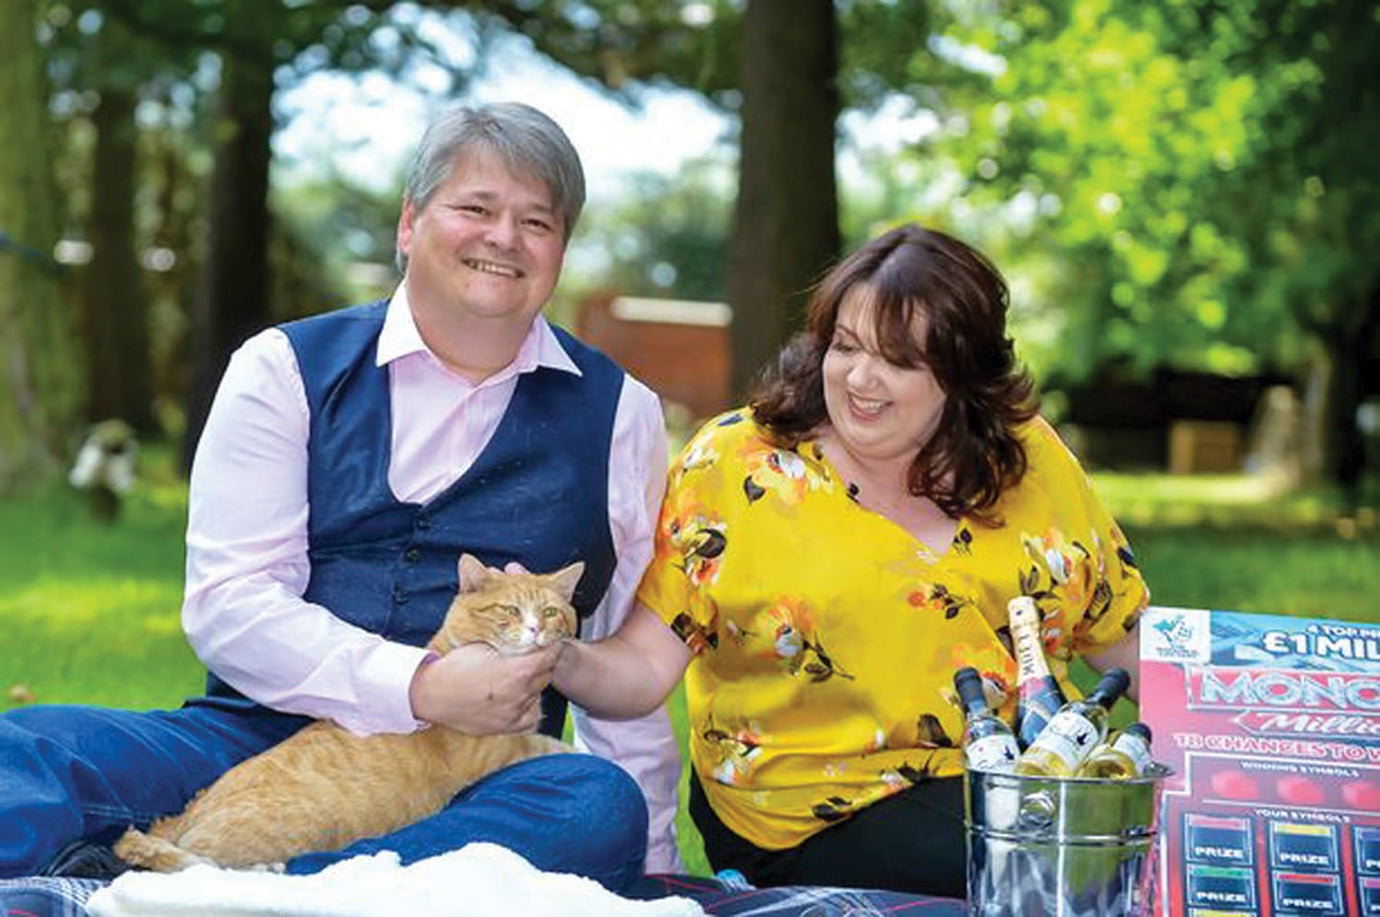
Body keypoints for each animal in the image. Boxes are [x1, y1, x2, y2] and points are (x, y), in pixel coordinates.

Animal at [111, 555, 576, 872]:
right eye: (509, 610)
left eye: (551, 612)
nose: (535, 629)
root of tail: (183, 817)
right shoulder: (499, 749)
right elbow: (557, 749)